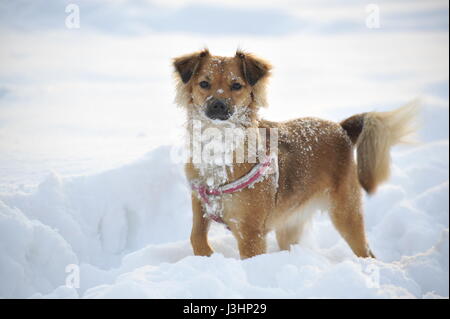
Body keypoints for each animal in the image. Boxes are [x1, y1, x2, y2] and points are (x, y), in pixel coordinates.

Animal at [172, 49, 418, 260]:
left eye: (236, 85)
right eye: (204, 84)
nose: (218, 105)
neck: (219, 146)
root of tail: (342, 129)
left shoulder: (250, 232)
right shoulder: (200, 203)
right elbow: (195, 236)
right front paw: (206, 255)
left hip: (346, 212)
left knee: (367, 252)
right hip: (289, 223)